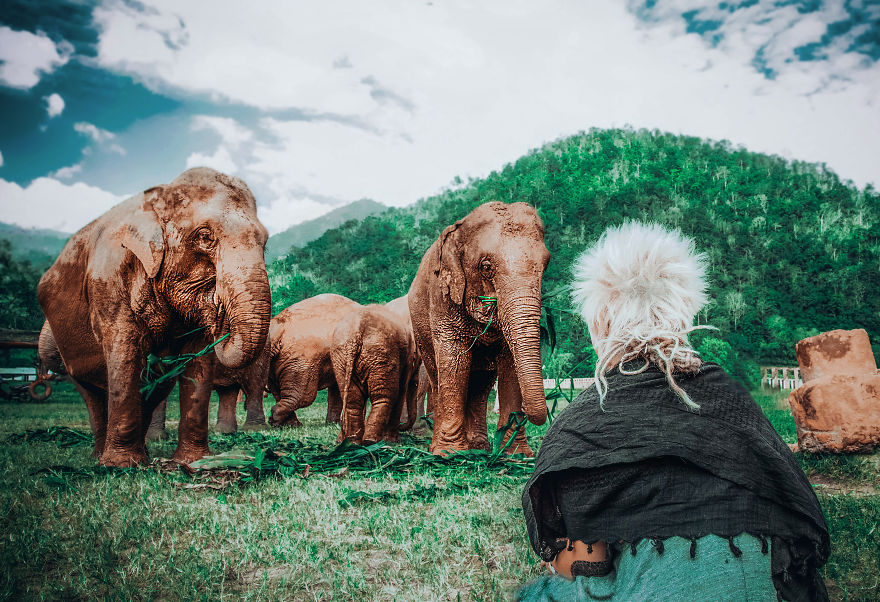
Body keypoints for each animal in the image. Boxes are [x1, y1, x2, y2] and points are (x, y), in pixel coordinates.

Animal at [38, 167, 271, 467]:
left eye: (265, 242)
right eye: (205, 237)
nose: (220, 311)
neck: (158, 197)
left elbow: (198, 362)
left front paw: (192, 462)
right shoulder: (108, 283)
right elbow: (125, 352)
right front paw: (120, 466)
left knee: (155, 386)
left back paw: (142, 454)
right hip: (66, 349)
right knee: (92, 393)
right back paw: (101, 458)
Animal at [267, 293, 361, 427]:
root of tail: (277, 329)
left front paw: (333, 424)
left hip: (276, 362)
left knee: (279, 392)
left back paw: (288, 423)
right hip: (301, 361)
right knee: (303, 396)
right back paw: (277, 420)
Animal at [330, 303, 420, 444]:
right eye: (418, 362)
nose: (403, 427)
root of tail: (357, 331)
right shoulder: (406, 360)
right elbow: (401, 391)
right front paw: (394, 440)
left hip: (342, 358)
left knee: (352, 399)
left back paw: (353, 442)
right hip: (380, 354)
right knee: (385, 396)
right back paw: (371, 441)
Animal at [408, 201, 550, 455]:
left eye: (547, 263)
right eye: (486, 266)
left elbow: (510, 364)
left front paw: (516, 455)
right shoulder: (442, 295)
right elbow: (454, 360)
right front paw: (450, 453)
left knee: (480, 384)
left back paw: (479, 448)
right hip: (420, 331)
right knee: (437, 377)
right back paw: (443, 447)